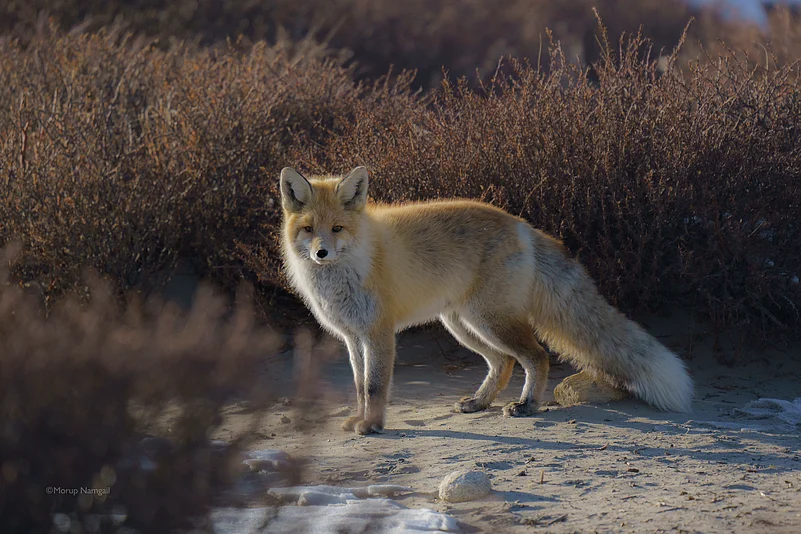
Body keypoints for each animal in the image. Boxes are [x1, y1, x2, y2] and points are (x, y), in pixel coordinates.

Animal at [279, 166, 694, 435]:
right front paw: (360, 418)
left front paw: (373, 425)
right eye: (309, 230)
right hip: (464, 324)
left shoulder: (379, 333)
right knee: (504, 362)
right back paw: (480, 402)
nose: (321, 253)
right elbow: (358, 385)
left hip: (489, 320)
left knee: (536, 356)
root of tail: (520, 224)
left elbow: (375, 386)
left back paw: (527, 406)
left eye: (337, 229)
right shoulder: (353, 337)